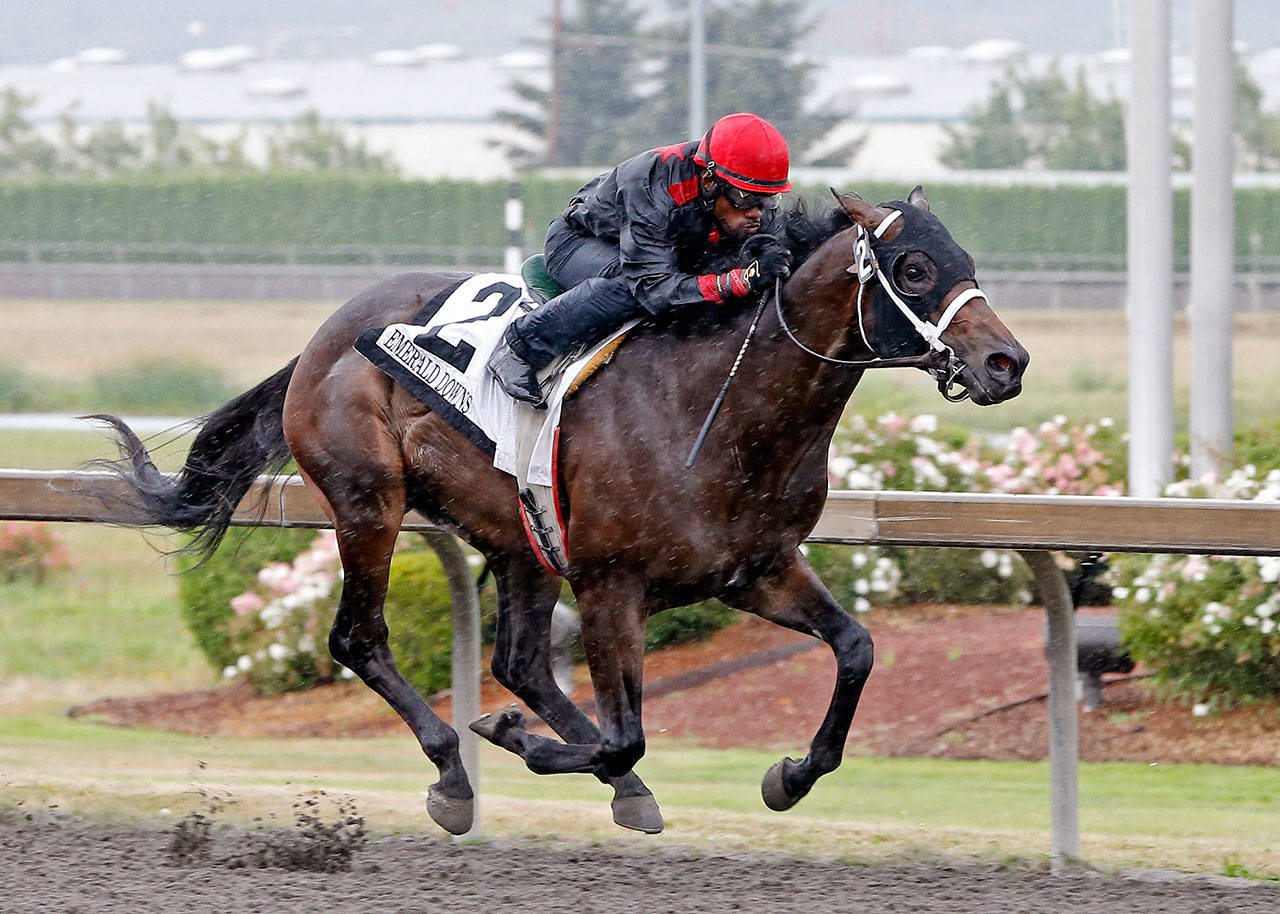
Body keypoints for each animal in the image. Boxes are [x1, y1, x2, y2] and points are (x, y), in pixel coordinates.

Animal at [90, 188, 1029, 834]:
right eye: (914, 270)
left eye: (967, 261)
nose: (1006, 362)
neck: (719, 407)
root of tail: (325, 335)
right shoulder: (614, 582)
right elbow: (626, 731)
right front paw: (515, 742)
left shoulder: (757, 569)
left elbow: (856, 649)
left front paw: (788, 776)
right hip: (369, 500)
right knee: (361, 637)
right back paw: (455, 775)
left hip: (520, 538)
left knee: (520, 661)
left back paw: (611, 787)